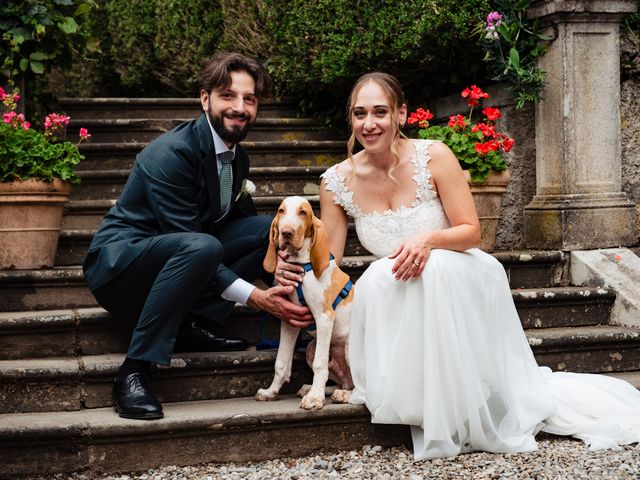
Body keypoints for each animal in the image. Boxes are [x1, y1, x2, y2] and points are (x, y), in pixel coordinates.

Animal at [256, 195, 356, 408]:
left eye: (303, 212)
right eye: (281, 211)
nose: (286, 232)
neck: (301, 266)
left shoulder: (325, 317)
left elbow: (320, 364)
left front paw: (315, 398)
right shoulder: (289, 319)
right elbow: (281, 362)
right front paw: (271, 392)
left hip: (350, 347)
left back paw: (343, 395)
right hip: (311, 348)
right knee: (345, 382)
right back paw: (320, 389)